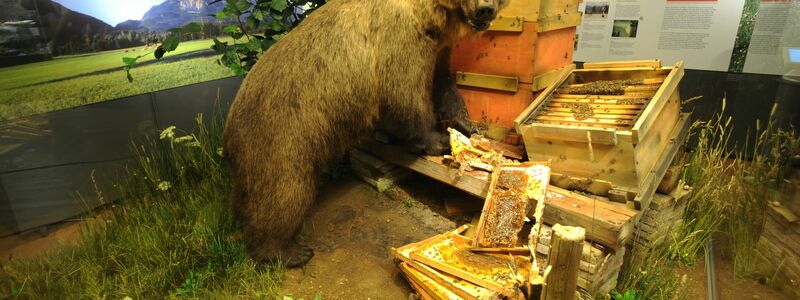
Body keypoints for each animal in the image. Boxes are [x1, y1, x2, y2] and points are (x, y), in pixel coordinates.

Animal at [222, 0, 510, 268]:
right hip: (281, 135)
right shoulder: (399, 40)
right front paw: (437, 141)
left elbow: (444, 83)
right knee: (285, 192)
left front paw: (467, 126)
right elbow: (405, 94)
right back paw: (288, 251)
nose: (485, 10)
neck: (430, 20)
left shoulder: (438, 49)